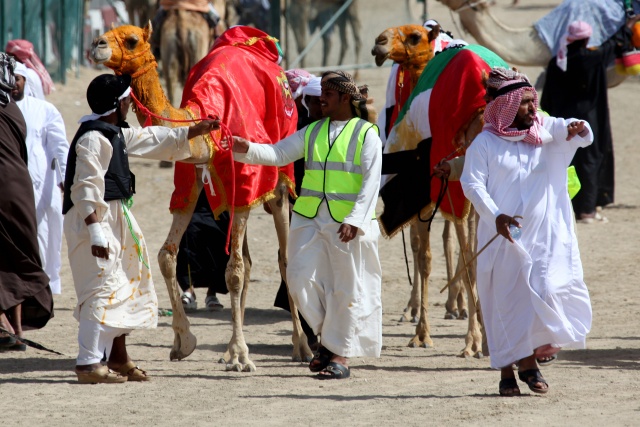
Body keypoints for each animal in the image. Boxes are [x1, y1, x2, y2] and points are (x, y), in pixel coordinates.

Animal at [88, 23, 316, 372]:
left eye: (132, 39)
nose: (96, 45)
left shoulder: (246, 183)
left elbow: (233, 271)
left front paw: (242, 356)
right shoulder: (189, 180)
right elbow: (167, 257)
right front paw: (185, 342)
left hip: (278, 179)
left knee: (284, 256)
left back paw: (301, 347)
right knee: (248, 260)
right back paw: (229, 349)